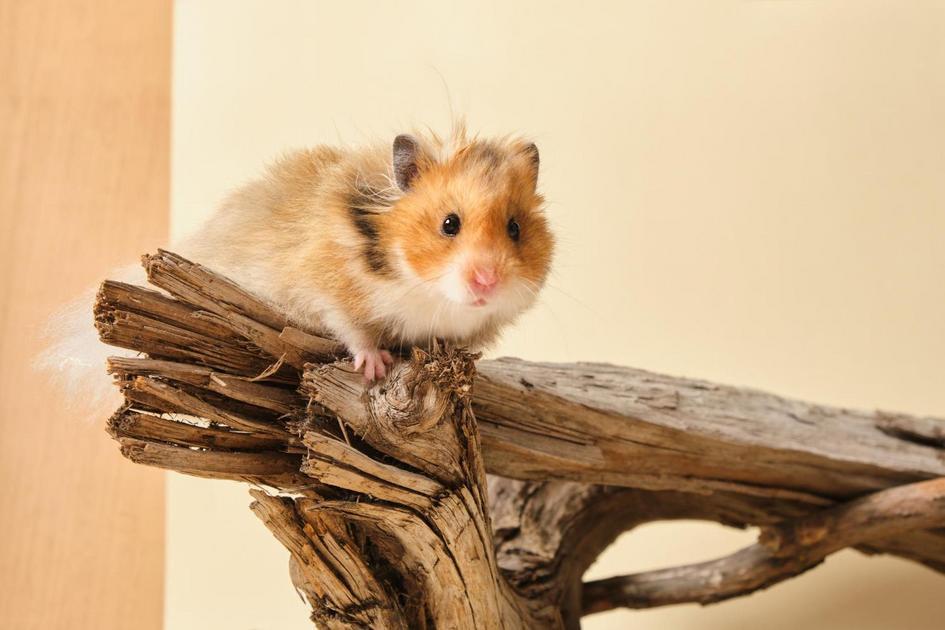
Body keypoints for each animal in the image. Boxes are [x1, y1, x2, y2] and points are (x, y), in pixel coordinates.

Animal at [47, 126, 554, 387]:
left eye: (515, 228)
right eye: (449, 224)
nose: (486, 282)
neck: (424, 291)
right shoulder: (326, 288)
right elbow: (353, 330)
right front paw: (376, 366)